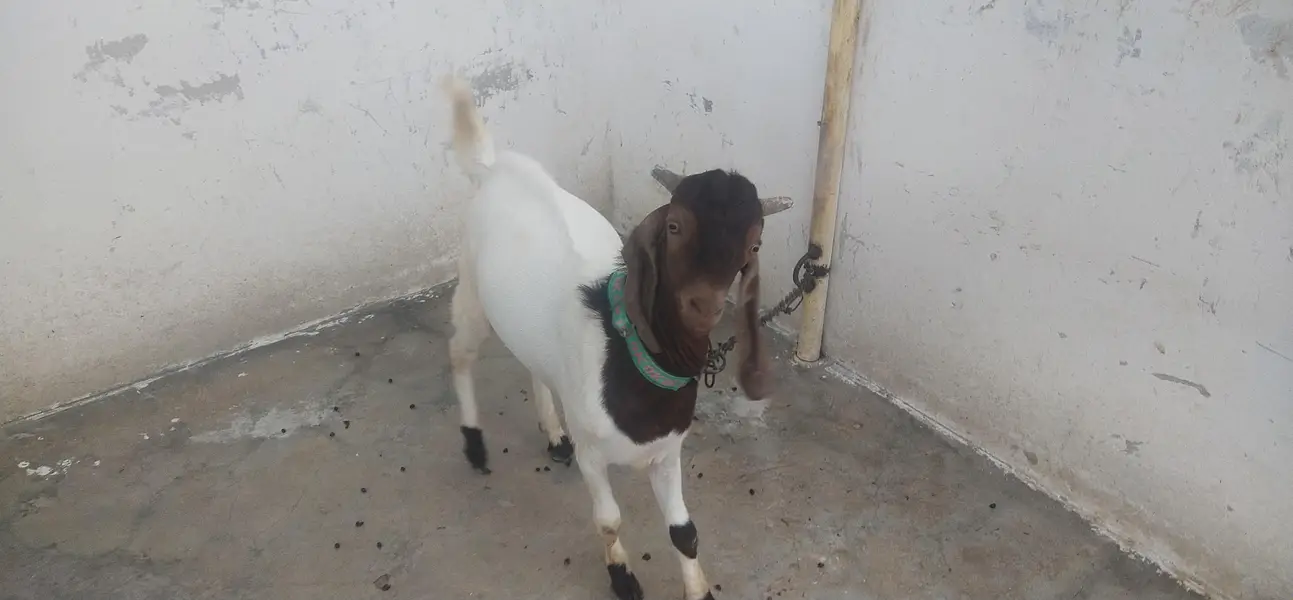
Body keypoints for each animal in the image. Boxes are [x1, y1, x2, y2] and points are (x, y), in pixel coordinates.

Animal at [443, 76, 783, 600]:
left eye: (754, 244)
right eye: (674, 225)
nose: (703, 305)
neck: (627, 356)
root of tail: (493, 167)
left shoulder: (668, 453)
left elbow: (685, 532)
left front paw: (698, 588)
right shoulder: (593, 455)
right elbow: (608, 520)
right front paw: (622, 577)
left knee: (533, 366)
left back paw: (553, 435)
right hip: (472, 289)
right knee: (460, 354)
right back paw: (475, 445)